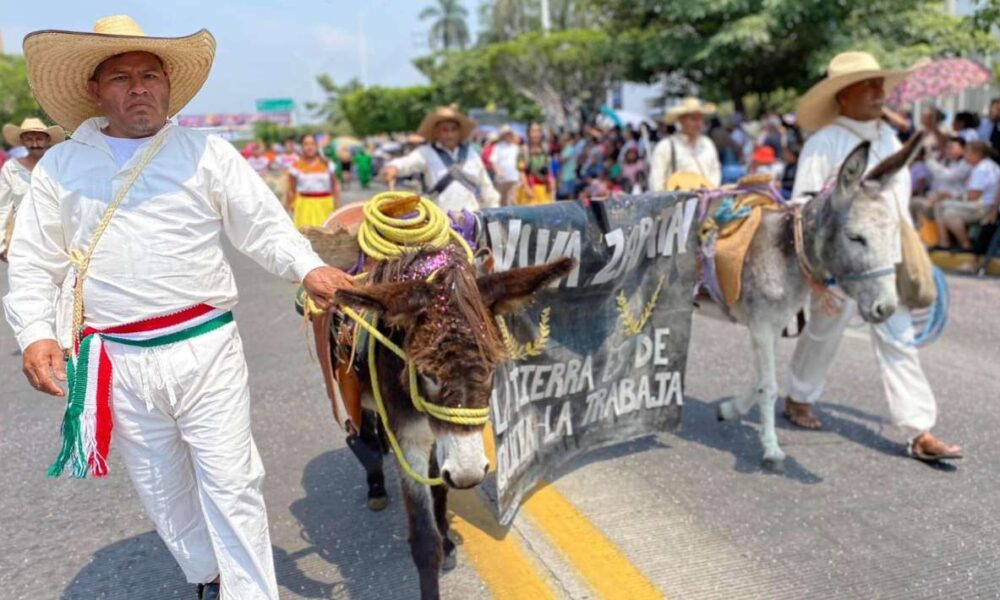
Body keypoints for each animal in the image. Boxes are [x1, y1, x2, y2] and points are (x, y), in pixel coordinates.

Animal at [334, 244, 576, 600]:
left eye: (491, 368)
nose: (468, 475)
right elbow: (424, 541)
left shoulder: (440, 440)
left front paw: (447, 539)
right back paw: (375, 481)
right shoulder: (409, 439)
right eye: (428, 372)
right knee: (366, 433)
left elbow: (440, 490)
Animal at [720, 134, 920, 472]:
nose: (887, 308)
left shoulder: (771, 325)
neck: (789, 249)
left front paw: (731, 409)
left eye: (893, 233)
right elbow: (769, 386)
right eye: (855, 238)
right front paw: (771, 449)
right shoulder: (760, 325)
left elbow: (760, 380)